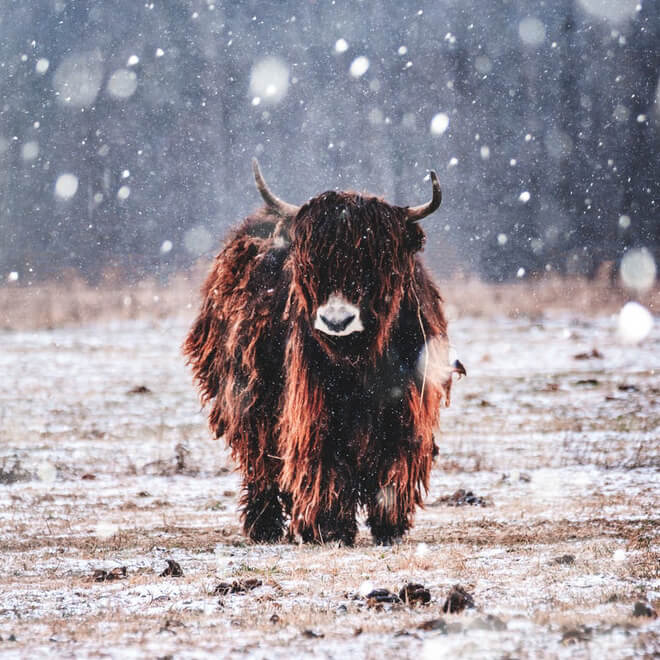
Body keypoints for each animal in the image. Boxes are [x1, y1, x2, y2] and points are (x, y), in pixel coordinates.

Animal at [184, 160, 464, 546]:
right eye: (312, 266)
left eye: (374, 263)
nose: (336, 320)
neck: (360, 360)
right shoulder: (314, 406)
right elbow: (324, 461)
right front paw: (329, 527)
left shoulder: (407, 405)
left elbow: (394, 459)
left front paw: (389, 526)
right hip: (246, 399)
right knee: (261, 462)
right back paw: (265, 526)